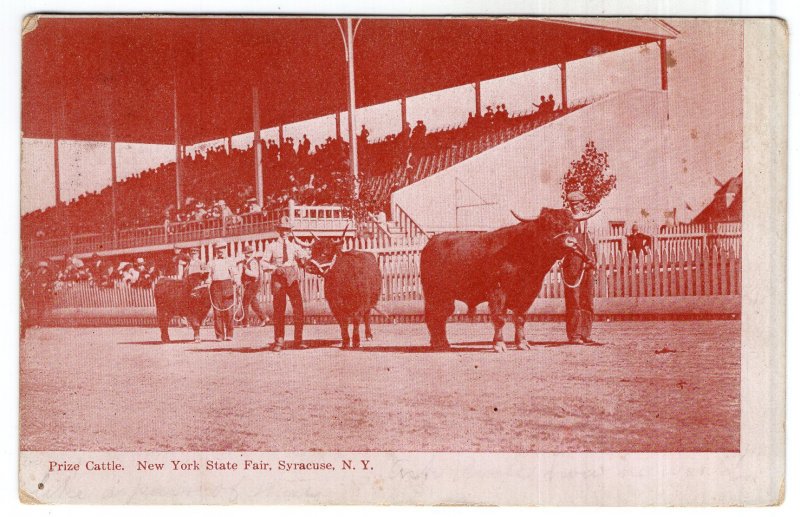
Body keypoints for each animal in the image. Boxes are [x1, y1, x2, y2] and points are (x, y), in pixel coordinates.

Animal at [422, 206, 596, 350]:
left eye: (570, 226)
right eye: (549, 225)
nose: (571, 242)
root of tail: (432, 242)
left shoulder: (529, 292)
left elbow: (520, 318)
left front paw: (522, 343)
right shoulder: (498, 291)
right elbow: (500, 318)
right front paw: (499, 344)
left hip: (446, 296)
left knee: (441, 315)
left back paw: (443, 343)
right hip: (433, 293)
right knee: (434, 315)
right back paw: (439, 344)